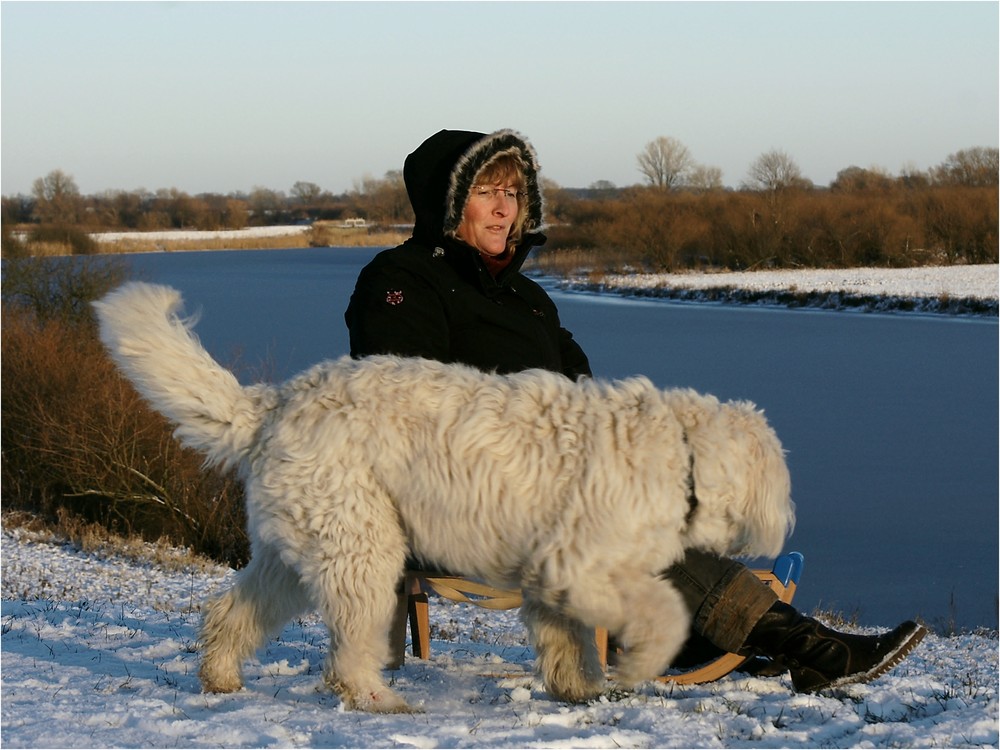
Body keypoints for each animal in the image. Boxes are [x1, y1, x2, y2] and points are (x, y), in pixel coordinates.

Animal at [94, 284, 796, 716]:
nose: (785, 525)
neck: (682, 451)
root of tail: (274, 403)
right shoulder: (584, 567)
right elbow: (664, 613)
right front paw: (637, 666)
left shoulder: (551, 577)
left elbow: (566, 640)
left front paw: (580, 691)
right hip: (363, 550)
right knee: (347, 652)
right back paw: (380, 700)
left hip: (296, 552)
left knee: (231, 610)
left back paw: (220, 676)